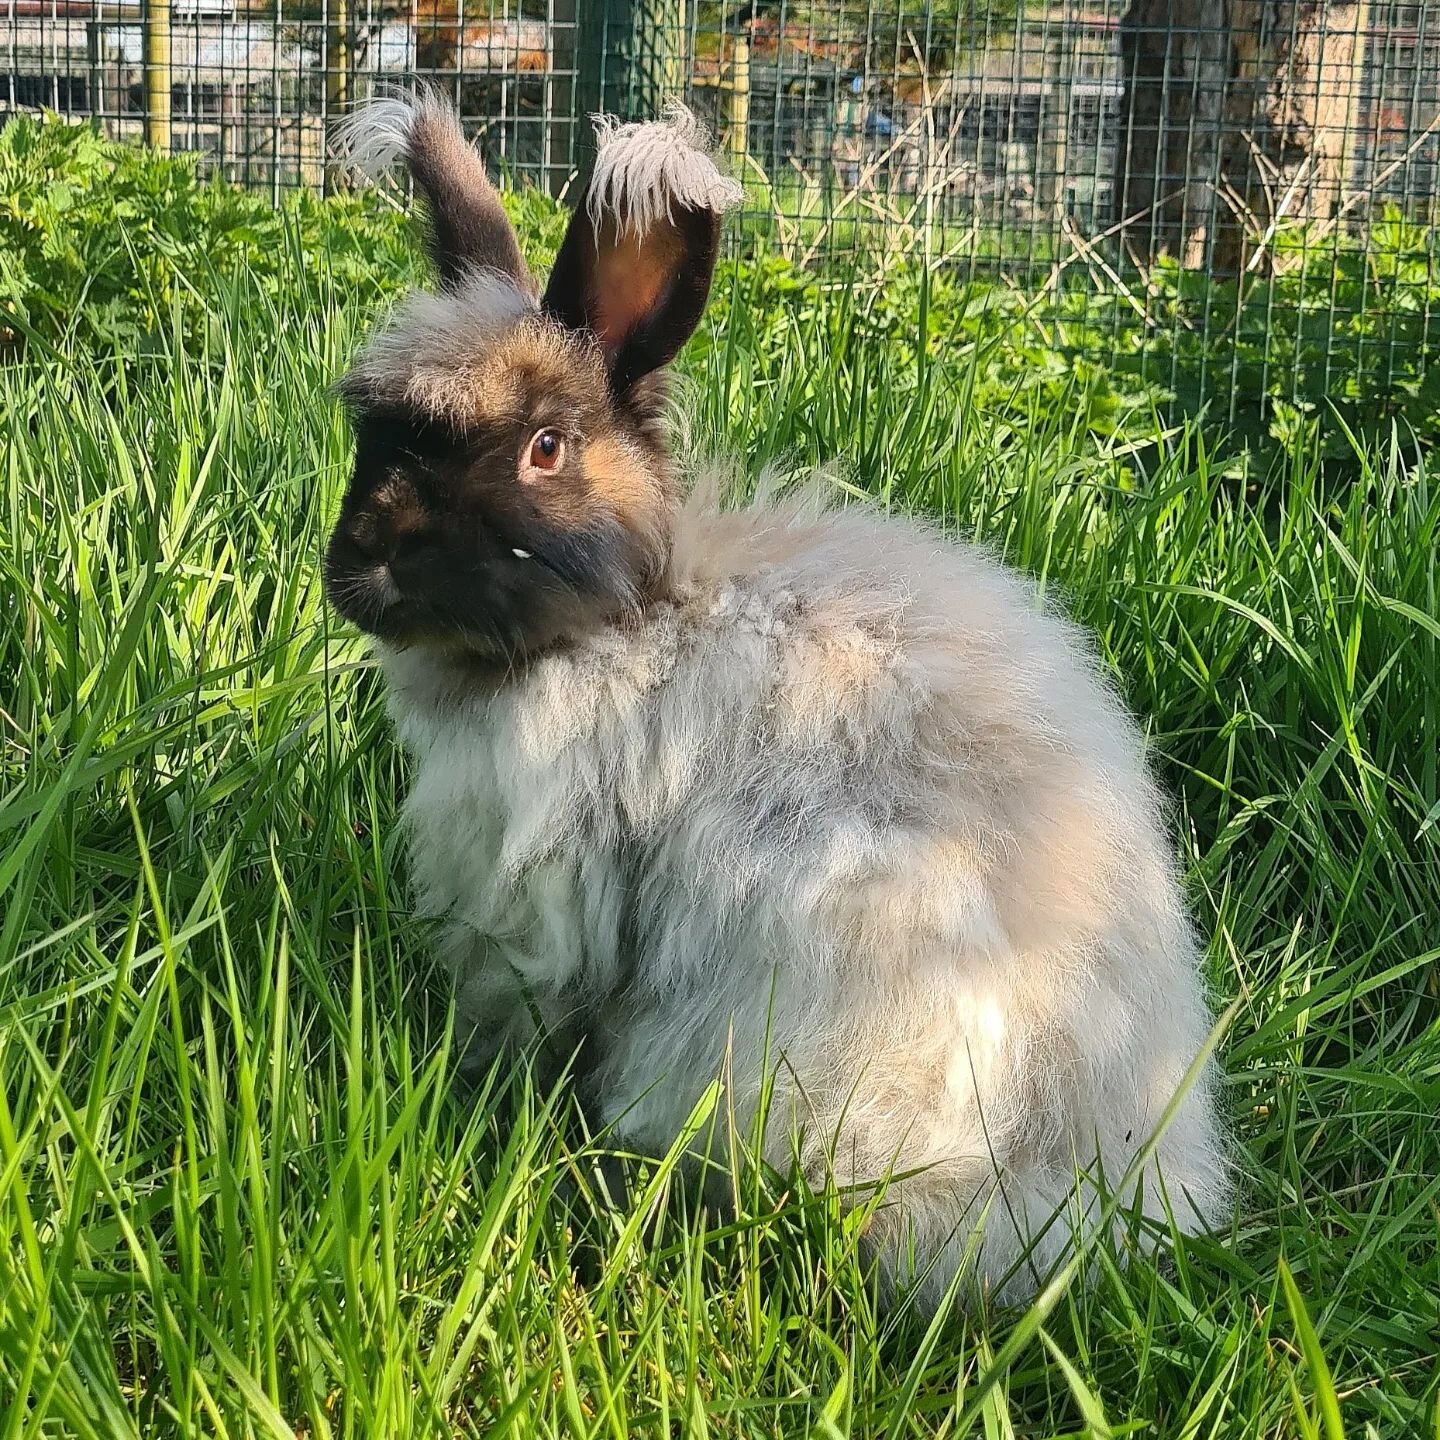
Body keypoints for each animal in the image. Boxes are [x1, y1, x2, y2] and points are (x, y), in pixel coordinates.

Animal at [329, 87, 1238, 1307]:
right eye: (372, 437)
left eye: (544, 448)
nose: (361, 568)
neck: (636, 617)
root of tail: (1074, 1187)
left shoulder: (544, 889)